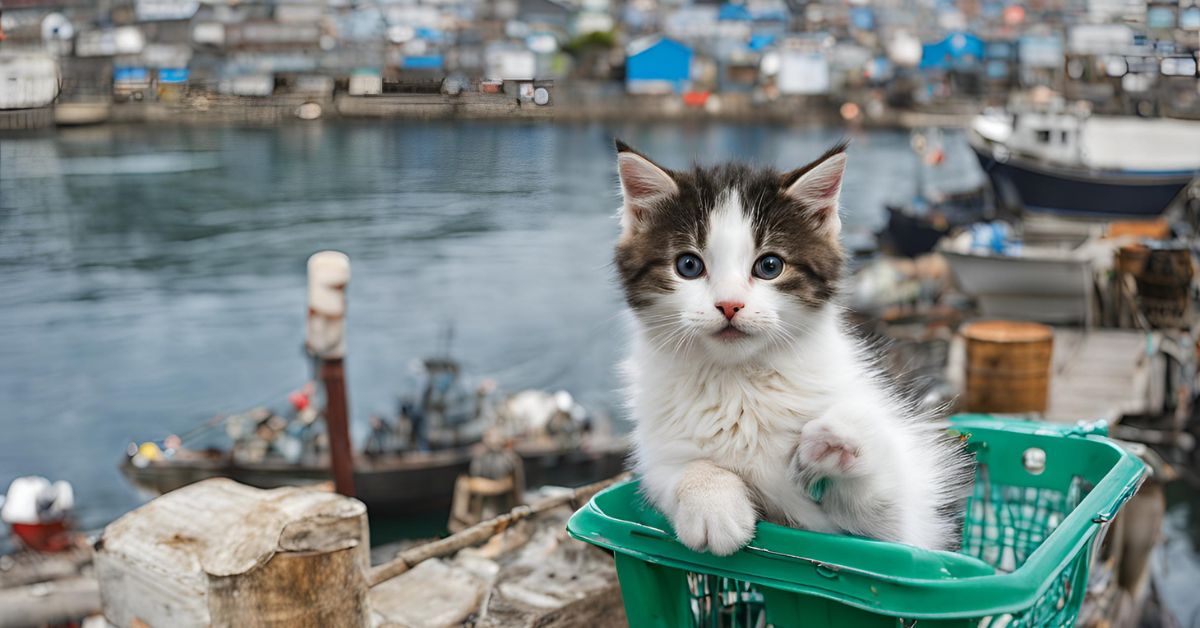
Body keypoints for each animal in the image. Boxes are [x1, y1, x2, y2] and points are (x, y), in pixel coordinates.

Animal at [614, 141, 969, 554]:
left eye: (770, 266)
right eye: (688, 265)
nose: (730, 305)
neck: (739, 380)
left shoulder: (909, 535)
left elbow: (886, 526)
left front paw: (837, 443)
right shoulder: (655, 447)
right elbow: (675, 469)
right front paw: (712, 502)